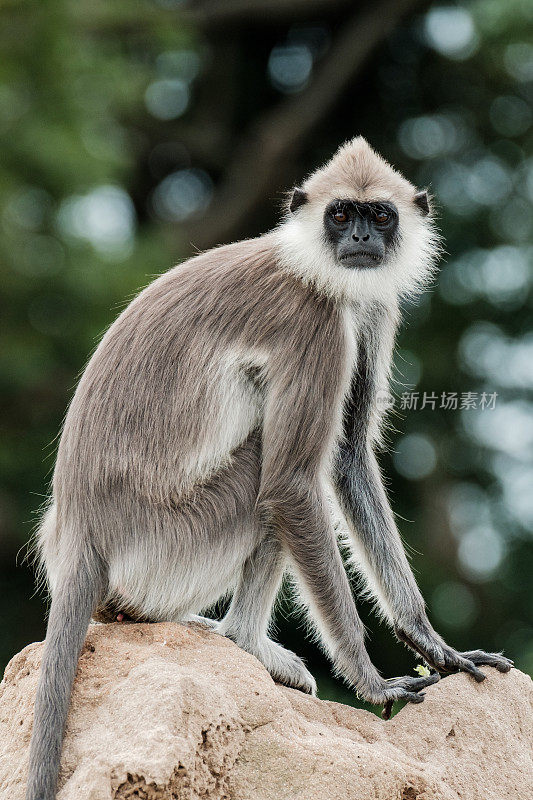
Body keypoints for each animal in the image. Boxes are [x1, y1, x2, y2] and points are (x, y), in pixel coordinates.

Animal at [26, 139, 512, 800]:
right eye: (341, 214)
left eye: (379, 215)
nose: (360, 236)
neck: (312, 266)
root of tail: (78, 536)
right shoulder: (317, 322)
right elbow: (291, 485)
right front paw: (370, 681)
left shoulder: (369, 307)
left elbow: (348, 455)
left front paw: (429, 643)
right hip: (172, 544)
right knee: (270, 473)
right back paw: (244, 642)